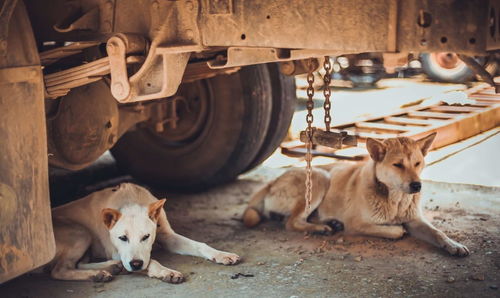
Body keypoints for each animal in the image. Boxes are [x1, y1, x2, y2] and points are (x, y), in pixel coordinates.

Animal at [48, 183, 240, 282]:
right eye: (122, 238)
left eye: (146, 237)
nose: (135, 265)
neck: (131, 201)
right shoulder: (119, 254)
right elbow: (151, 261)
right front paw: (166, 272)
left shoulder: (168, 237)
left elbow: (200, 245)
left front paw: (221, 254)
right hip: (80, 232)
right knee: (59, 270)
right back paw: (98, 273)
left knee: (75, 265)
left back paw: (108, 268)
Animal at [244, 133, 470, 256]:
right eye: (398, 165)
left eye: (417, 163)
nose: (417, 186)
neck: (394, 200)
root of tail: (271, 182)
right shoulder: (357, 224)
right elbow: (394, 231)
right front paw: (397, 229)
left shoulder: (416, 220)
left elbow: (438, 232)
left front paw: (453, 245)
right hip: (319, 177)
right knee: (291, 222)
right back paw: (322, 228)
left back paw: (329, 223)